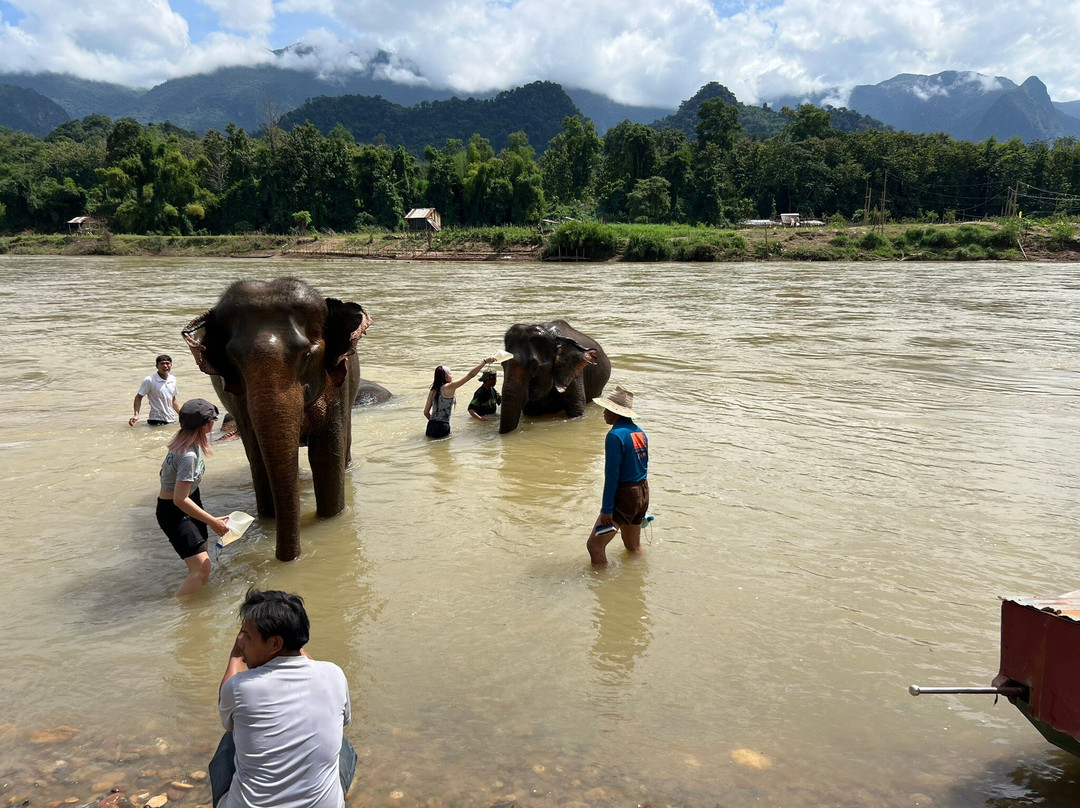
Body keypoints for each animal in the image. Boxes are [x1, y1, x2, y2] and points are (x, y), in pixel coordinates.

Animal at [182, 278, 370, 561]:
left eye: (307, 355)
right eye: (234, 360)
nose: (285, 558)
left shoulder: (338, 386)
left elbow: (326, 456)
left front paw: (330, 518)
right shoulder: (240, 402)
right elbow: (259, 458)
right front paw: (269, 520)